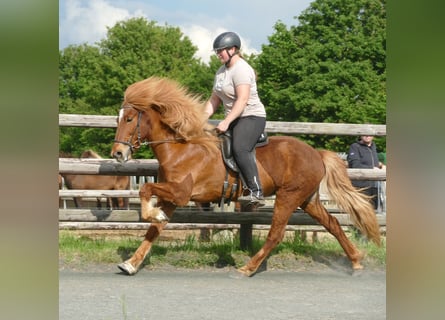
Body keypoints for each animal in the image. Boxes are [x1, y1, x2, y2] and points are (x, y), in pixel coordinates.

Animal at [111, 76, 378, 276]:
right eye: (118, 118)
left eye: (130, 118)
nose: (118, 153)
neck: (181, 148)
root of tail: (316, 153)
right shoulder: (172, 197)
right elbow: (154, 230)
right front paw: (131, 264)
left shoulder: (180, 192)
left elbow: (145, 191)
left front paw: (152, 213)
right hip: (308, 199)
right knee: (333, 224)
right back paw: (355, 261)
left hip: (288, 197)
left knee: (275, 234)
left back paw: (248, 268)